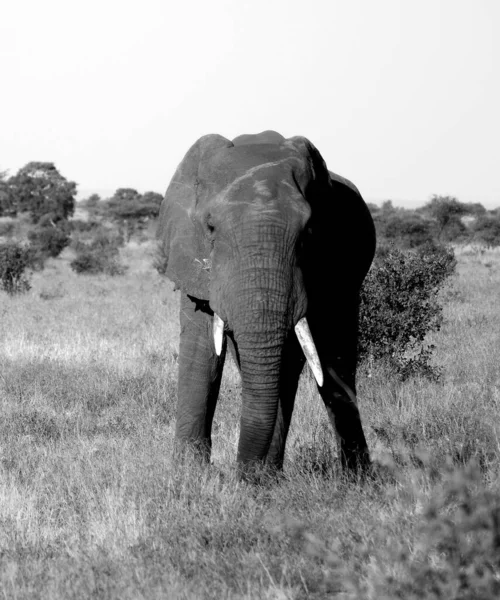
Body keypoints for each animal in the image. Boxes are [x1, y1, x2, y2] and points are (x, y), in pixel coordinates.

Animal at [156, 129, 376, 476]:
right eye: (210, 227)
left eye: (309, 232)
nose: (238, 475)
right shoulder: (190, 257)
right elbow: (201, 351)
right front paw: (189, 473)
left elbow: (288, 358)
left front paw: (258, 477)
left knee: (334, 365)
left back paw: (356, 478)